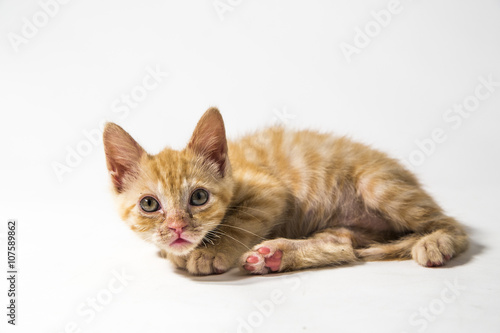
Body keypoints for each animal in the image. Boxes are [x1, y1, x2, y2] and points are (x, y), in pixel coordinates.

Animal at [102, 107, 468, 274]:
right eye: (149, 204)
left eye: (199, 197)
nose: (177, 226)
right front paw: (177, 252)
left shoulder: (270, 190)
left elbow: (239, 222)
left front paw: (212, 252)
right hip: (349, 225)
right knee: (342, 246)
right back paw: (275, 255)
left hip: (376, 183)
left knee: (455, 227)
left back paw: (435, 242)